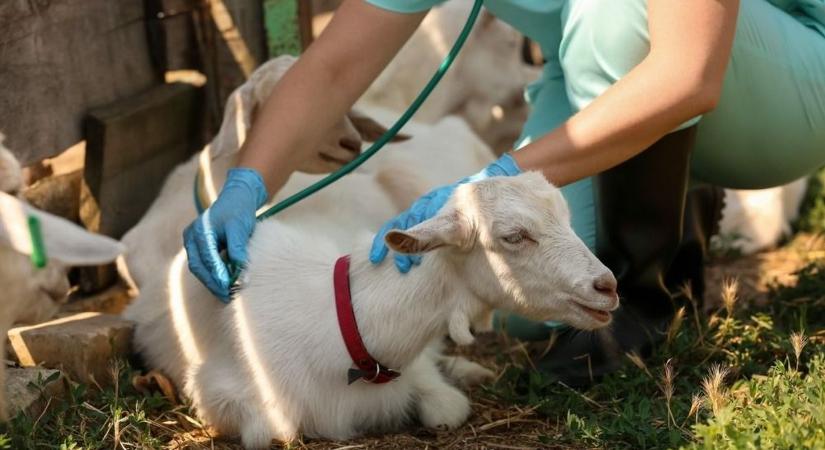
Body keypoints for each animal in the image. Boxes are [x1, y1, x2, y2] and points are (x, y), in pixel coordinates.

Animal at [125, 171, 616, 446]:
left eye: (567, 217)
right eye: (514, 236)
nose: (608, 286)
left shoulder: (416, 369)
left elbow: (447, 407)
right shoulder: (217, 388)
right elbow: (272, 431)